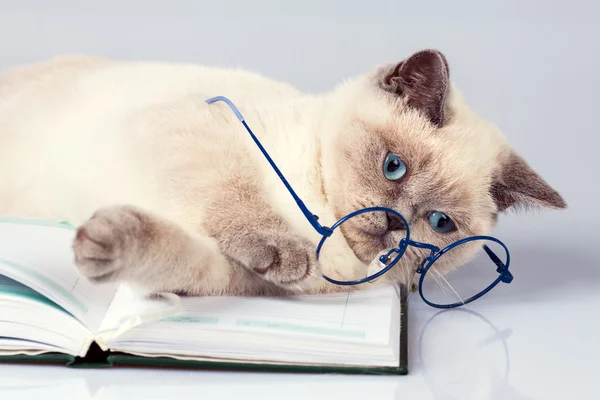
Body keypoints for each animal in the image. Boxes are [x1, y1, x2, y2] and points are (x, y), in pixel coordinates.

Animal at [0, 49, 568, 296]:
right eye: (394, 167)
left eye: (440, 223)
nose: (394, 226)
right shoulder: (197, 131)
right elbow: (237, 196)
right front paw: (282, 247)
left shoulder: (242, 279)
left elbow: (181, 257)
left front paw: (103, 244)